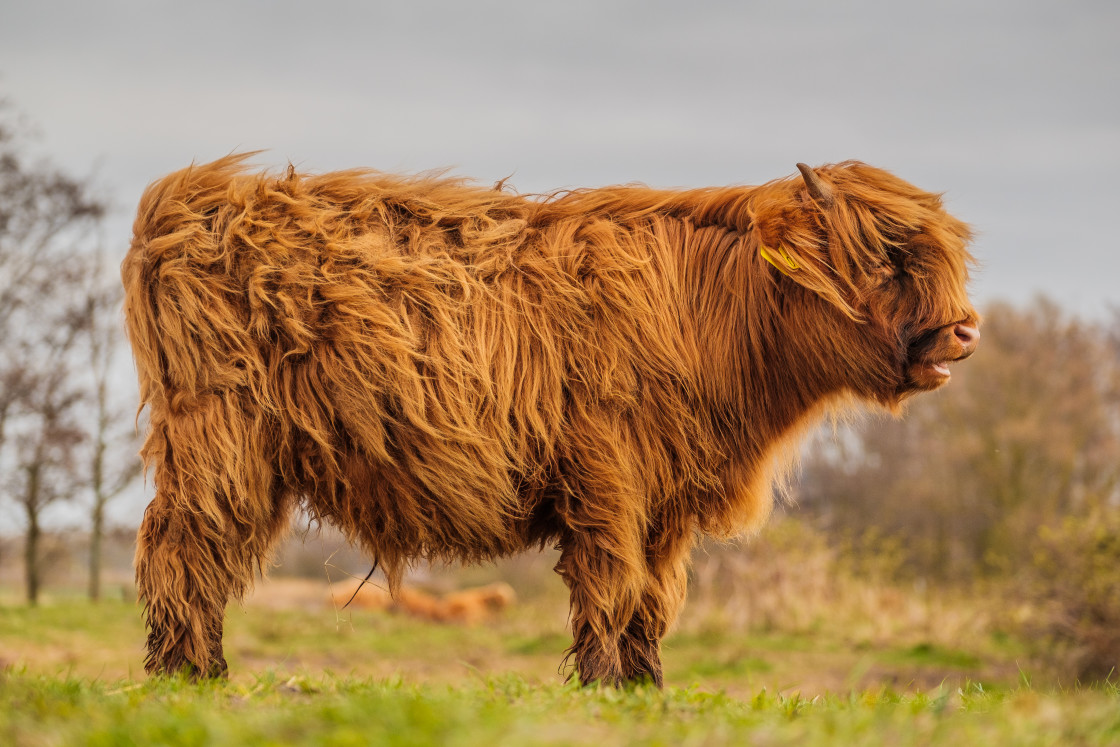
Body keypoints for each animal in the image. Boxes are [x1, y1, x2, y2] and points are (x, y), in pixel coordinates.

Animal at [124, 154, 981, 685]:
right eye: (886, 258)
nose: (964, 330)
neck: (711, 310)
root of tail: (185, 204)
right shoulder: (607, 475)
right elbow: (611, 582)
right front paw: (601, 684)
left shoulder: (668, 496)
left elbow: (654, 595)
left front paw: (646, 686)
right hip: (217, 437)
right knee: (183, 543)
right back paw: (186, 674)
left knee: (202, 549)